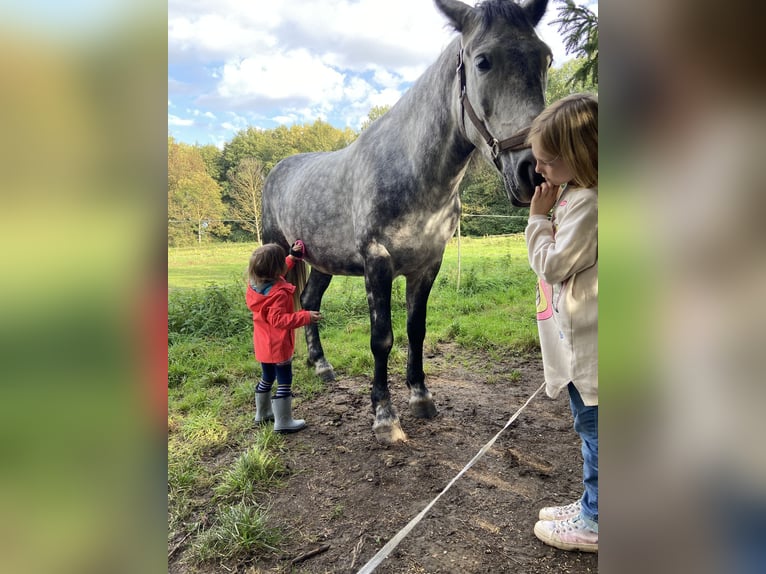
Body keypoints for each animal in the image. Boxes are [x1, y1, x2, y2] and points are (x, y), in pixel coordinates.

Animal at [262, 0, 552, 446]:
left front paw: (421, 397)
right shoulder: (377, 264)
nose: (533, 171)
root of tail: (277, 170)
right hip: (276, 251)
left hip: (319, 260)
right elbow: (382, 338)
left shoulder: (427, 265)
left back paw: (321, 365)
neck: (414, 173)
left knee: (309, 303)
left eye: (546, 59)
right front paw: (385, 416)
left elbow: (416, 330)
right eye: (483, 61)